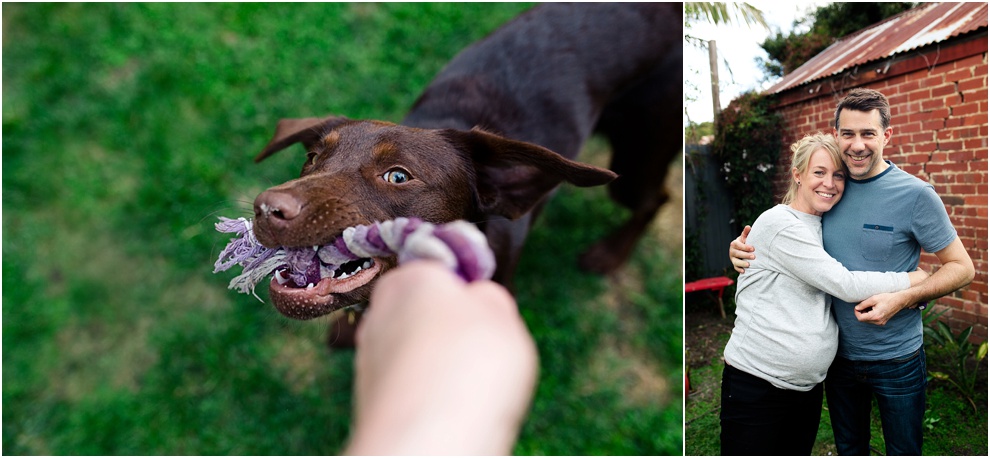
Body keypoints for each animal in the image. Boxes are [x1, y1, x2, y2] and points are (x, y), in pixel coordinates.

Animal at [250, 4, 680, 326]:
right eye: (312, 158)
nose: (266, 208)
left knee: (657, 198)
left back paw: (609, 254)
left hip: (635, 161)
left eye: (398, 176)